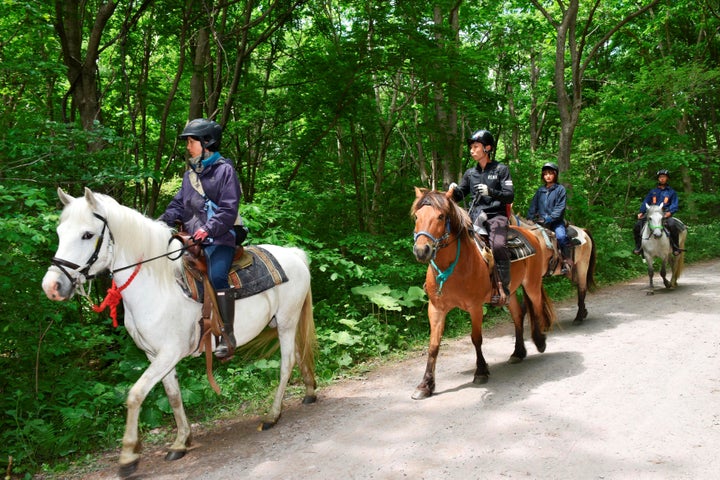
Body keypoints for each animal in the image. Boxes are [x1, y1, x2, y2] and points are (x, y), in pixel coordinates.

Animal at [40, 188, 316, 476]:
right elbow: (173, 396)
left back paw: (272, 415)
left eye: (87, 234)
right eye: (59, 232)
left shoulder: (169, 353)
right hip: (282, 323)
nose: (52, 286)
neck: (156, 284)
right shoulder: (155, 356)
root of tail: (294, 254)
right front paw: (181, 442)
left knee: (287, 363)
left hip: (286, 321)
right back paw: (310, 391)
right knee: (299, 352)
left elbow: (135, 395)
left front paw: (128, 456)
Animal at [408, 189, 556, 400]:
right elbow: (433, 345)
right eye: (417, 217)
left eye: (441, 216)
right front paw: (425, 385)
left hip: (532, 284)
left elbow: (476, 338)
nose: (422, 251)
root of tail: (531, 233)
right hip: (510, 293)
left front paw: (481, 371)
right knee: (518, 316)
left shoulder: (475, 307)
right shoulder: (436, 309)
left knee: (535, 308)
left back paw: (540, 341)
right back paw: (518, 352)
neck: (453, 266)